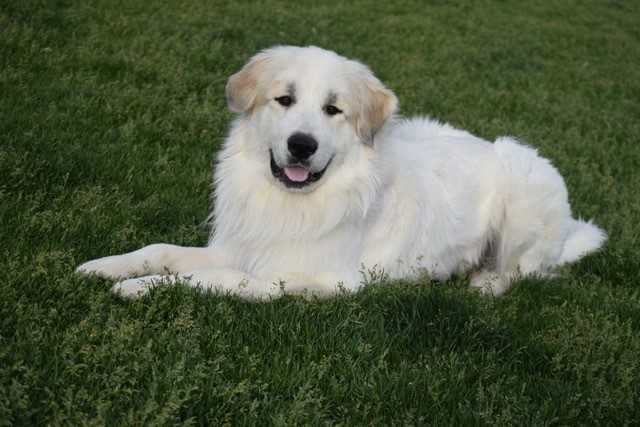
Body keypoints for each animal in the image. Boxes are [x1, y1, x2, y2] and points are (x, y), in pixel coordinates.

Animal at [75, 44, 604, 298]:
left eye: (333, 110)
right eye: (284, 99)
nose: (301, 145)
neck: (294, 202)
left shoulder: (296, 280)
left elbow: (211, 279)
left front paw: (138, 288)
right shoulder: (239, 247)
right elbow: (162, 251)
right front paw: (107, 267)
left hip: (526, 183)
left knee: (527, 272)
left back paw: (486, 282)